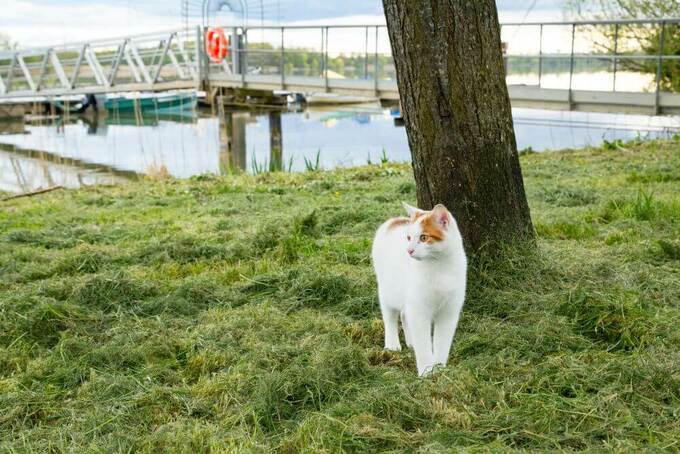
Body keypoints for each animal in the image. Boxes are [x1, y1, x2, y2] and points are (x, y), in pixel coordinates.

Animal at [372, 202, 468, 376]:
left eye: (423, 238)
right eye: (409, 238)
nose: (409, 250)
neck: (439, 266)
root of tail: (393, 221)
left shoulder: (449, 313)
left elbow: (442, 343)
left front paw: (439, 368)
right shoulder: (420, 311)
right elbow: (424, 344)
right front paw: (426, 372)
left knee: (404, 314)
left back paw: (411, 343)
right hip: (387, 291)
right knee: (390, 318)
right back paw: (392, 345)